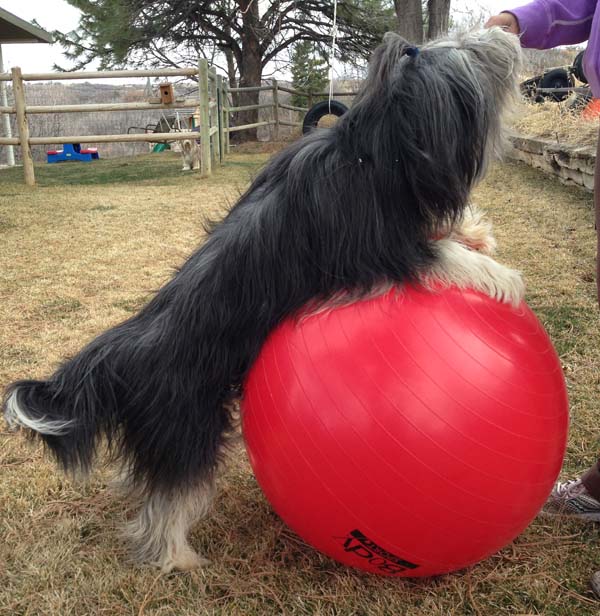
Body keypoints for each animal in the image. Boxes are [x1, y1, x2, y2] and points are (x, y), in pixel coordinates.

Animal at [3, 30, 520, 572]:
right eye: (473, 53)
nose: (509, 34)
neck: (372, 147)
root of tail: (126, 355)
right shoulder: (378, 249)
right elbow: (438, 253)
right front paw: (502, 277)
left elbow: (444, 233)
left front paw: (477, 233)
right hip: (189, 426)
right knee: (167, 500)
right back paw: (178, 557)